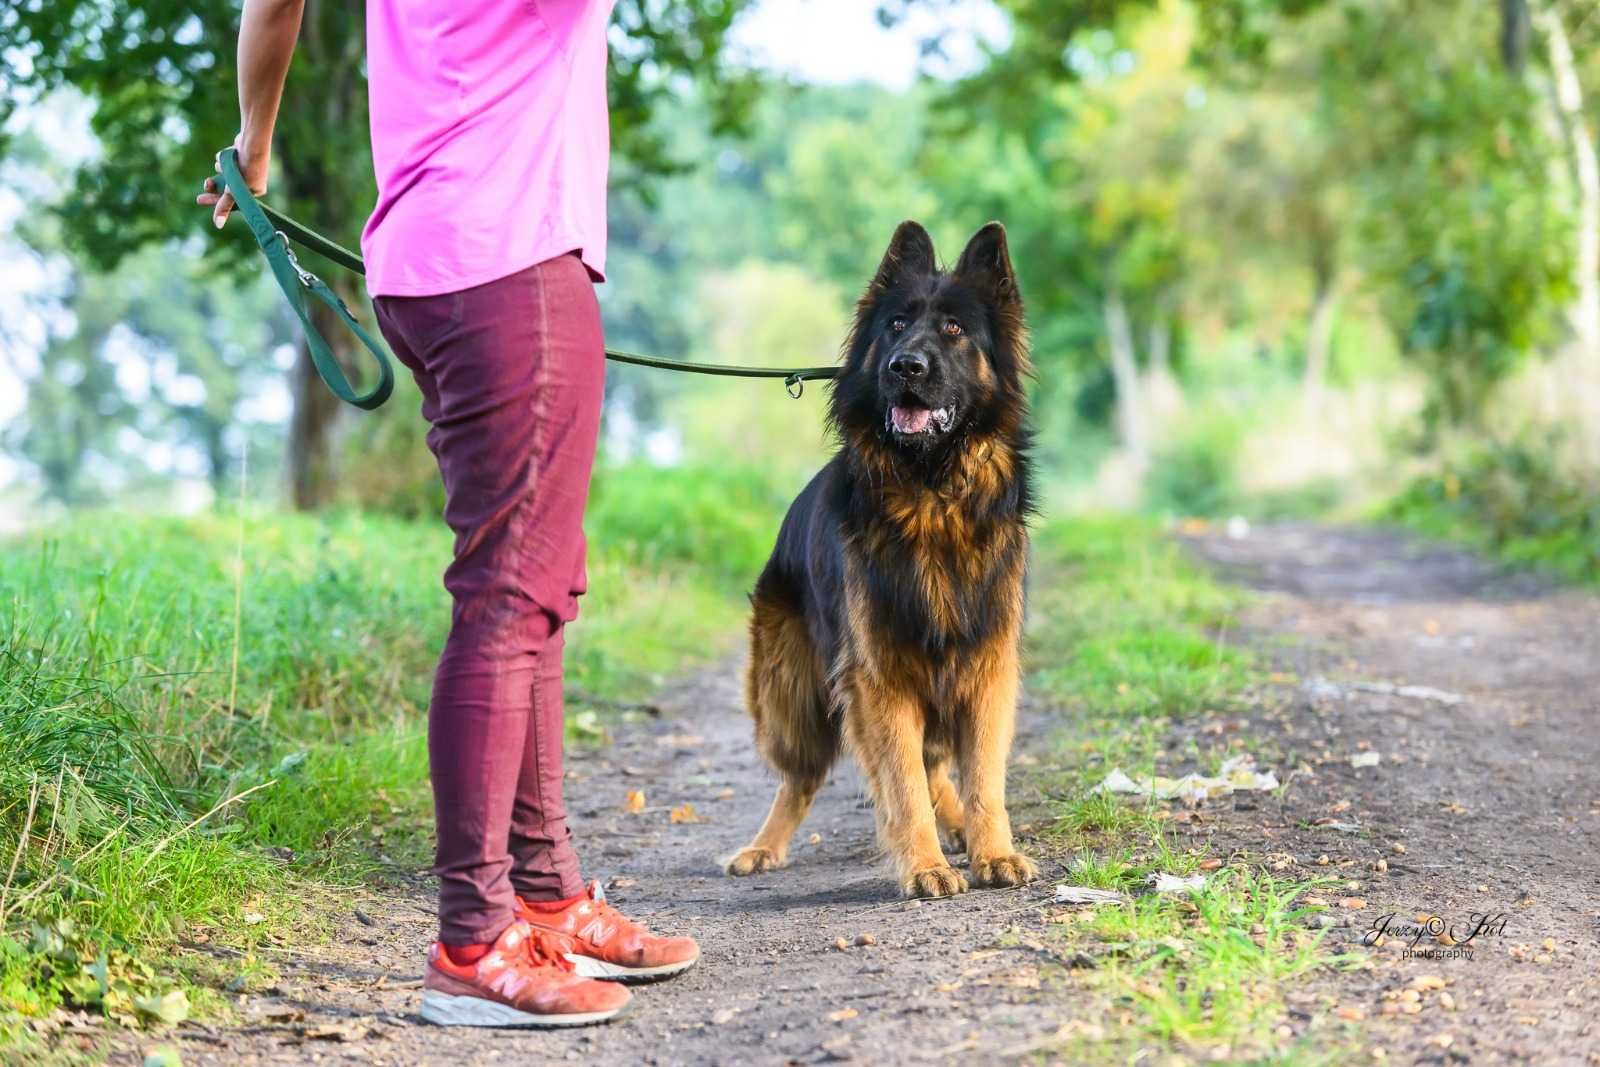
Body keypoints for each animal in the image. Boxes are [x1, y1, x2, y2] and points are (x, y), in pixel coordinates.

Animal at [729, 220, 1036, 895]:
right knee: (802, 777)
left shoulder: (985, 665)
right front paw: (924, 865)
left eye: (954, 329)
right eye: (896, 324)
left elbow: (982, 778)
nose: (905, 366)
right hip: (791, 698)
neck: (933, 493)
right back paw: (762, 846)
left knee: (937, 767)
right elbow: (901, 781)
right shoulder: (880, 677)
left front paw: (992, 851)